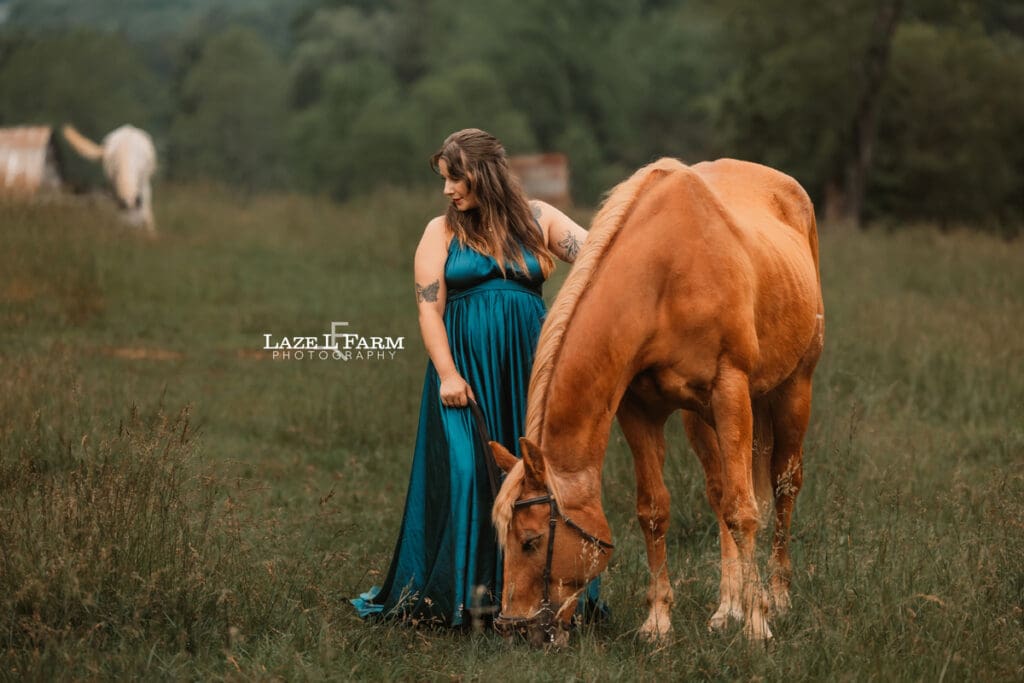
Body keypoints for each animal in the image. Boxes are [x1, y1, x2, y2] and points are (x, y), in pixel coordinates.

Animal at [488, 157, 824, 645]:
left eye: (530, 541)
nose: (514, 626)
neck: (662, 277)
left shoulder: (730, 390)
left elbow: (744, 511)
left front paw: (758, 625)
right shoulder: (639, 410)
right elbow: (654, 511)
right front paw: (659, 621)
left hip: (792, 391)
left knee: (783, 486)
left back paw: (776, 598)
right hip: (700, 419)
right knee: (720, 491)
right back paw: (728, 607)